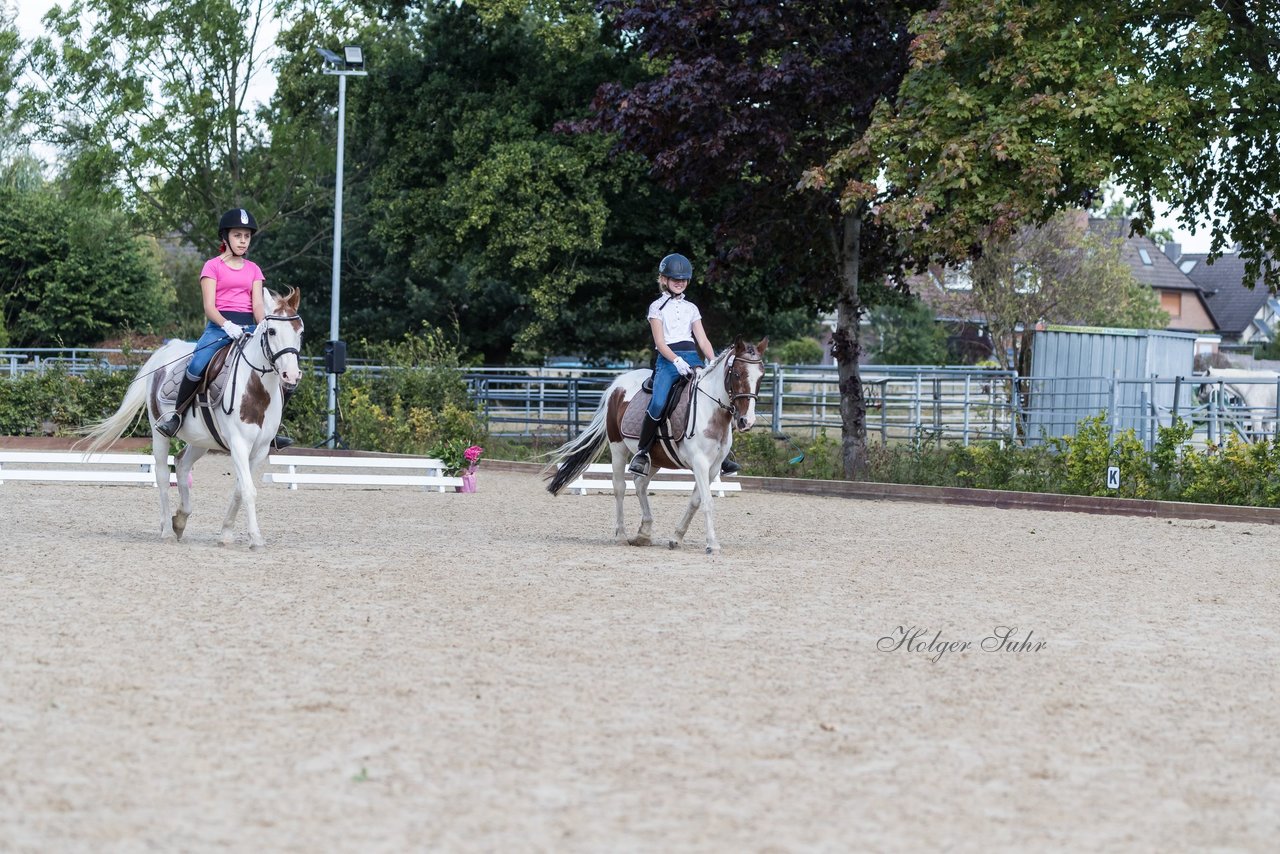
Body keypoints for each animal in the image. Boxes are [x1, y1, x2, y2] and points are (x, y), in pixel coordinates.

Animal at [84, 290, 304, 550]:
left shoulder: (259, 449)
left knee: (181, 464)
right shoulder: (239, 444)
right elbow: (248, 490)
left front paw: (226, 534)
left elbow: (240, 489)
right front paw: (256, 538)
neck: (257, 389)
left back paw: (179, 520)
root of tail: (169, 349)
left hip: (201, 440)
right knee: (162, 474)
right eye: (272, 331)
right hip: (159, 433)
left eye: (300, 331)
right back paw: (167, 531)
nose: (291, 375)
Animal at [542, 338, 762, 558]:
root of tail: (617, 384)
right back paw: (621, 536)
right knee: (620, 487)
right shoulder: (700, 462)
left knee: (640, 483)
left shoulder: (713, 467)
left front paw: (676, 538)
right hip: (618, 448)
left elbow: (695, 501)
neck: (710, 410)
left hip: (655, 456)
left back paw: (644, 534)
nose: (746, 421)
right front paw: (712, 545)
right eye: (737, 374)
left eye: (761, 375)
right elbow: (707, 501)